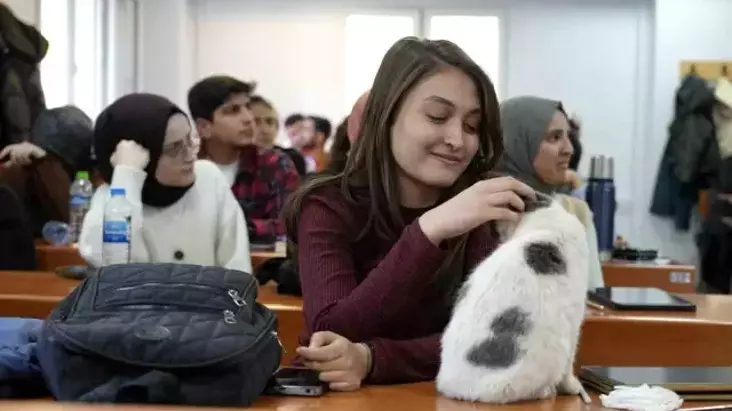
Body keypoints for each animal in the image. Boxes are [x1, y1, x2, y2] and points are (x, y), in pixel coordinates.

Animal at [438, 196, 592, 406]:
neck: (546, 224)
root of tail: (460, 391)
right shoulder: (575, 322)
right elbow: (570, 367)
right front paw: (573, 387)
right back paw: (546, 391)